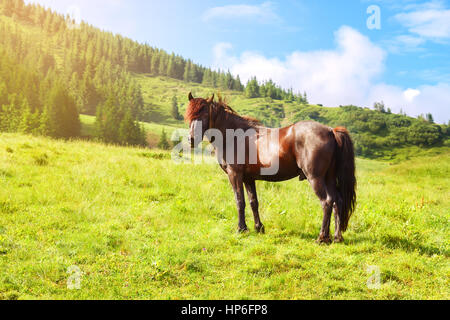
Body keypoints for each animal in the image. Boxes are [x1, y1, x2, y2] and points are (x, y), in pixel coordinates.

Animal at [185, 94, 356, 244]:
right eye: (189, 116)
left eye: (204, 114)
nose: (191, 139)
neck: (235, 136)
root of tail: (330, 130)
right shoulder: (248, 178)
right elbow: (253, 202)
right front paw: (258, 228)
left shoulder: (235, 175)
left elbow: (240, 201)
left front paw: (241, 229)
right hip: (329, 178)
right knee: (337, 201)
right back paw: (336, 237)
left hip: (315, 178)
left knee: (326, 202)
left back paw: (322, 238)